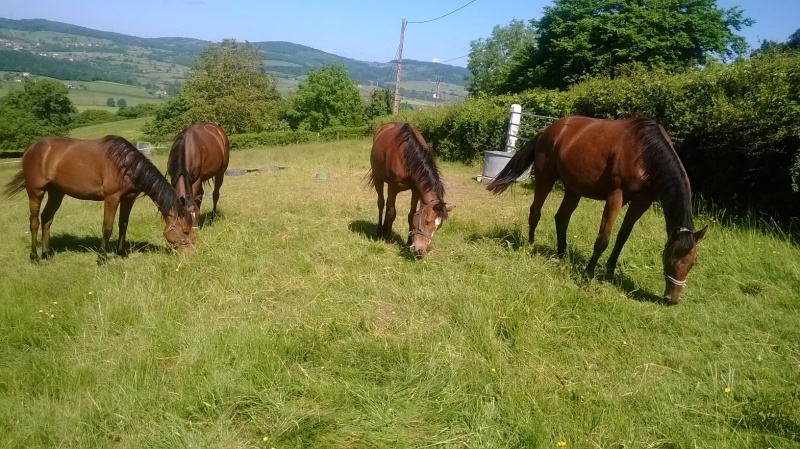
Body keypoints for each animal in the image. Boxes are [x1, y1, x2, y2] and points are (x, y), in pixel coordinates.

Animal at [3, 135, 196, 262]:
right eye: (185, 231)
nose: (191, 254)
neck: (125, 165)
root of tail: (30, 148)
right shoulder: (111, 198)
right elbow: (107, 228)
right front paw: (102, 257)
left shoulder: (128, 199)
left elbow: (123, 225)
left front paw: (121, 253)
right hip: (36, 192)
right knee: (34, 222)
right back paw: (34, 256)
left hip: (56, 192)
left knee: (47, 219)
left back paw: (47, 253)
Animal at [367, 122, 454, 257]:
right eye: (427, 221)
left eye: (438, 227)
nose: (420, 251)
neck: (407, 156)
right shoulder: (393, 188)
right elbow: (392, 212)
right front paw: (388, 237)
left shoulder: (416, 190)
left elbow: (411, 215)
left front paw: (408, 242)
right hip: (378, 177)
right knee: (381, 203)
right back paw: (380, 229)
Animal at [487, 116, 706, 304]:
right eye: (672, 259)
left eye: (693, 262)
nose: (672, 298)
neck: (644, 153)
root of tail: (546, 130)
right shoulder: (615, 196)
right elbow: (603, 239)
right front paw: (587, 275)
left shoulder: (641, 202)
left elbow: (622, 237)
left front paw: (609, 270)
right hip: (545, 177)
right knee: (535, 211)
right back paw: (530, 246)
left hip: (573, 189)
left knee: (561, 217)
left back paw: (562, 254)